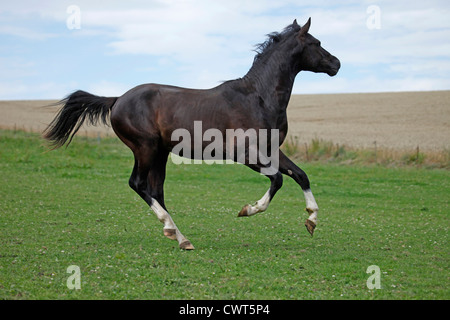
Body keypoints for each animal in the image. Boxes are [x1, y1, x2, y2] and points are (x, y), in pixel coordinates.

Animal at [44, 18, 342, 250]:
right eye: (316, 43)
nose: (337, 63)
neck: (258, 97)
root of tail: (116, 99)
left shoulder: (271, 149)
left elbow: (300, 175)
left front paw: (311, 220)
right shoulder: (242, 153)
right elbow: (278, 179)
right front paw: (248, 209)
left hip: (160, 153)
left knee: (156, 190)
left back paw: (179, 237)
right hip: (145, 148)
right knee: (138, 184)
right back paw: (173, 230)